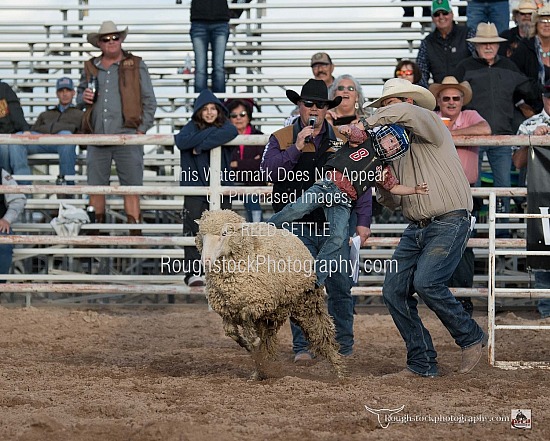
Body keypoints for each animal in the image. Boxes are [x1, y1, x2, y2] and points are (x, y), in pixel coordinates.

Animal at [197, 209, 344, 378]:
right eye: (202, 235)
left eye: (224, 233)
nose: (206, 260)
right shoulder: (227, 311)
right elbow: (231, 333)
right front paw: (248, 346)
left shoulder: (257, 304)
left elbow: (247, 323)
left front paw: (252, 342)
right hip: (274, 313)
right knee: (268, 338)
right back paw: (261, 369)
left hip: (306, 304)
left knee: (321, 332)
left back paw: (339, 370)